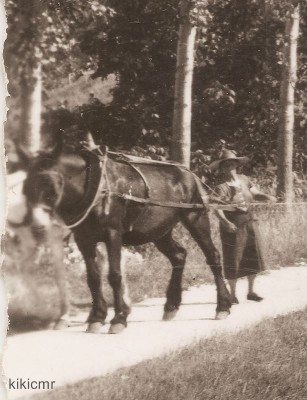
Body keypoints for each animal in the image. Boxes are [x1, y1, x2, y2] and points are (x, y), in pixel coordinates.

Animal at [23, 144, 231, 334]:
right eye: (26, 187)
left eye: (51, 185)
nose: (38, 227)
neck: (96, 187)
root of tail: (189, 173)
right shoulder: (83, 239)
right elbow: (93, 278)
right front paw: (97, 317)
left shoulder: (113, 233)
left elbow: (115, 275)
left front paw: (119, 319)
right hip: (159, 231)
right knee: (179, 255)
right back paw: (171, 306)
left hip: (195, 217)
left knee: (212, 256)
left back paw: (223, 306)